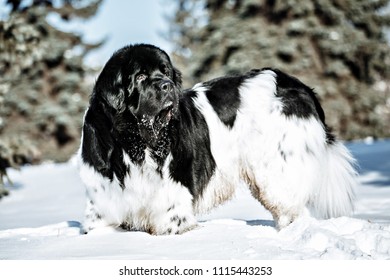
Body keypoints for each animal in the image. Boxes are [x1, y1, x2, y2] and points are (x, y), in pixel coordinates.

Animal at [77, 43, 356, 235]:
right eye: (141, 77)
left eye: (166, 72)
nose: (168, 85)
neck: (133, 140)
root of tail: (298, 86)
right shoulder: (103, 199)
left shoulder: (172, 200)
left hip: (277, 168)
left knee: (292, 207)